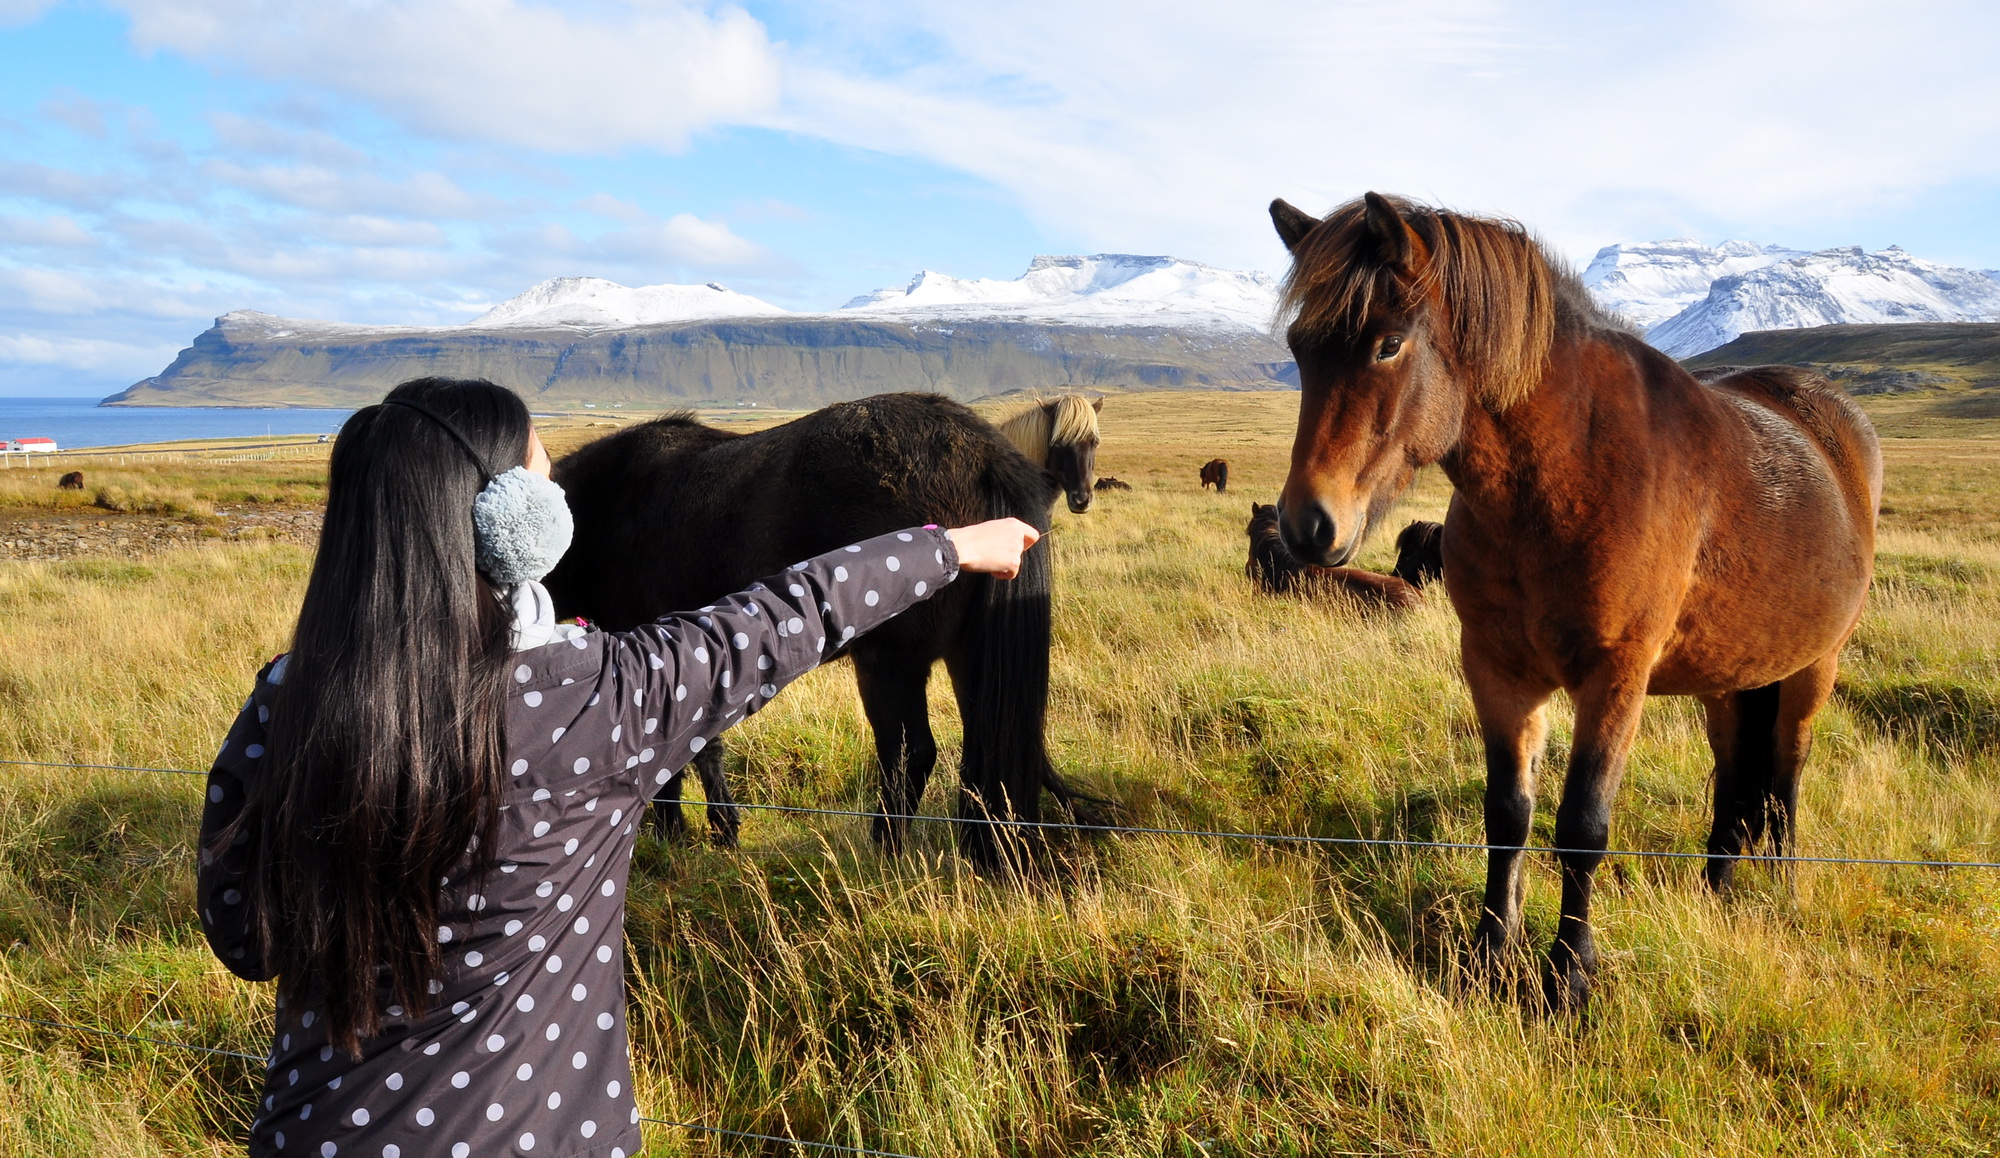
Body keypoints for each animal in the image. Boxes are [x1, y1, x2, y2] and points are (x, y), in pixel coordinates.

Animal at [544, 392, 1080, 872]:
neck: (603, 507)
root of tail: (986, 454)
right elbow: (704, 748)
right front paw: (721, 830)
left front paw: (674, 834)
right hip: (966, 659)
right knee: (982, 752)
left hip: (890, 664)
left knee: (910, 755)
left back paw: (883, 853)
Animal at [1272, 195, 1880, 1012]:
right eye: (1300, 348)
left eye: (1388, 344)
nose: (1309, 525)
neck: (1567, 475)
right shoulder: (1497, 671)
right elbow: (1508, 815)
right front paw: (1488, 957)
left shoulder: (1615, 678)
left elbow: (1583, 826)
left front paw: (1569, 976)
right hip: (1729, 676)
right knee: (1735, 776)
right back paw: (1716, 888)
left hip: (1816, 664)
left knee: (1786, 772)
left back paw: (1778, 888)